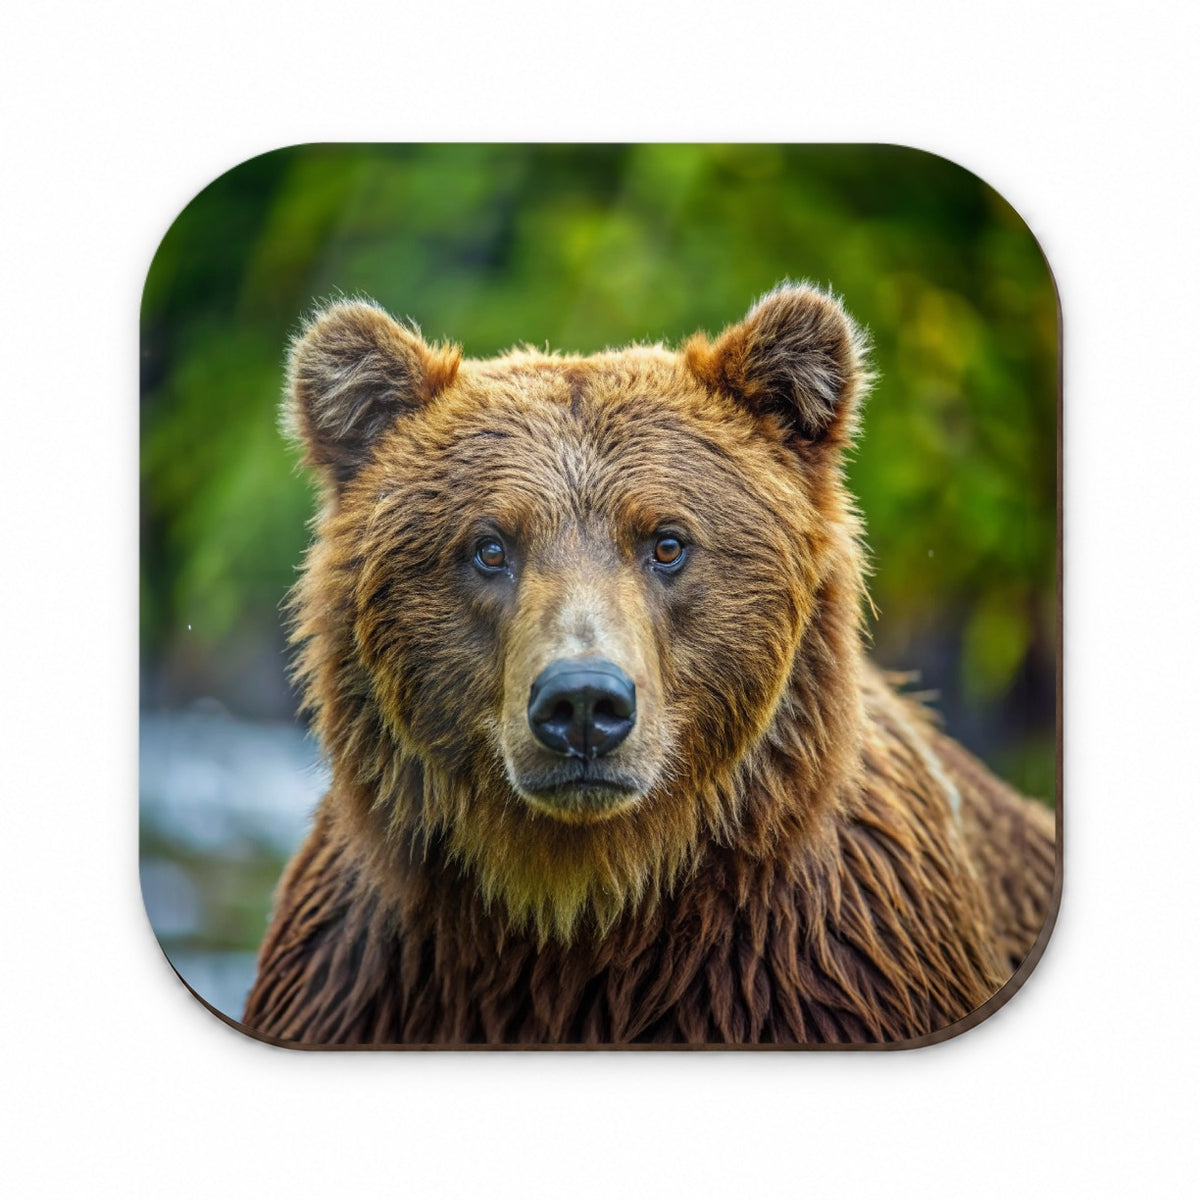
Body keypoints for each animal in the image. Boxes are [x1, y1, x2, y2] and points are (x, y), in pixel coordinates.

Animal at [241, 284, 1057, 1045]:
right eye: (489, 547)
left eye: (667, 542)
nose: (581, 704)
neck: (588, 893)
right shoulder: (366, 975)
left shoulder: (828, 964)